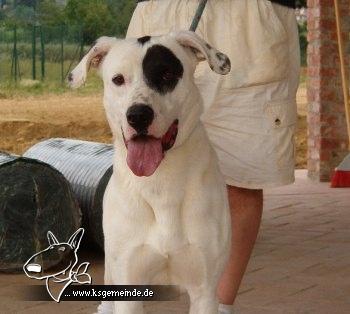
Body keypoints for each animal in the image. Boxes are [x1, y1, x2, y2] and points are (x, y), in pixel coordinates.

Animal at [69, 30, 231, 314]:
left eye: (166, 74)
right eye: (118, 79)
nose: (138, 115)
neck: (160, 183)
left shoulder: (205, 290)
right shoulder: (128, 288)